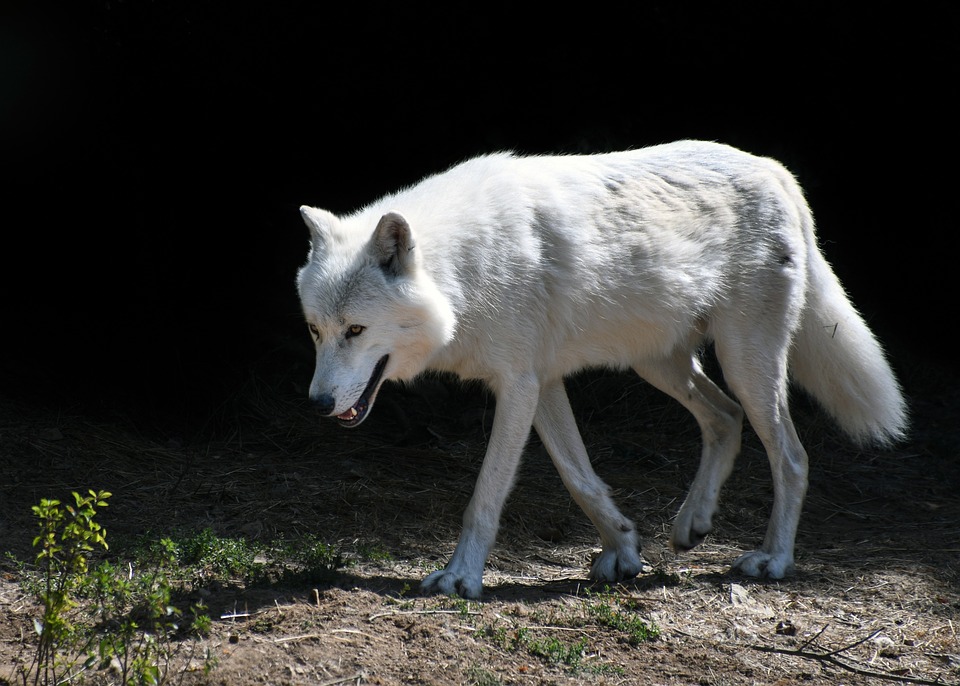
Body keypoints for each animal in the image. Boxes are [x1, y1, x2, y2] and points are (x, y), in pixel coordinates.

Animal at [296, 140, 907, 599]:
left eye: (356, 330)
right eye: (316, 330)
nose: (317, 405)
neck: (463, 272)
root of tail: (775, 170)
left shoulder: (517, 386)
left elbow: (485, 497)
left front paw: (460, 577)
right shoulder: (541, 384)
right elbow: (580, 477)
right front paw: (624, 549)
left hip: (745, 364)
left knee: (792, 455)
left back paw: (774, 560)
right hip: (660, 364)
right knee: (725, 419)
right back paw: (692, 523)